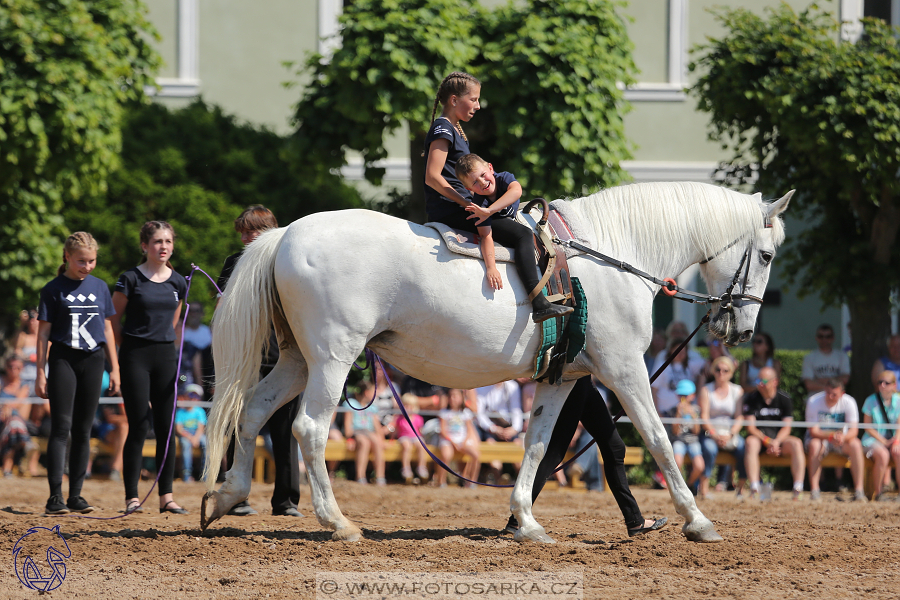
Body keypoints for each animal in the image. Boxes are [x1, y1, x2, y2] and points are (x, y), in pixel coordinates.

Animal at [200, 180, 792, 540]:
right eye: (765, 255)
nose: (741, 329)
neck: (614, 255)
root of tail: (284, 235)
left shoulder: (562, 378)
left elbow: (536, 444)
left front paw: (525, 520)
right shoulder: (625, 371)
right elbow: (659, 440)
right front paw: (697, 519)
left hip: (297, 359)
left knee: (253, 413)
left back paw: (225, 496)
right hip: (332, 357)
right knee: (309, 427)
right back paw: (336, 520)